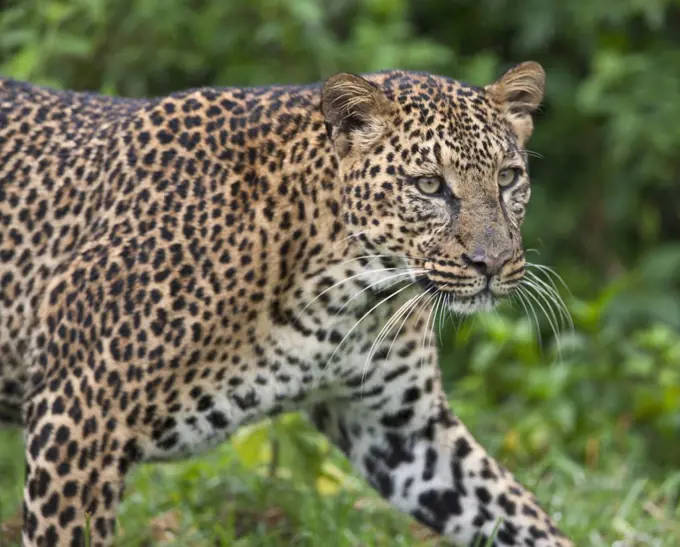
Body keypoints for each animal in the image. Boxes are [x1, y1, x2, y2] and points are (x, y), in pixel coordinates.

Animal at [0, 57, 572, 544]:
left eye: (508, 177)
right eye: (429, 185)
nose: (493, 264)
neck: (345, 289)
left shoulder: (401, 429)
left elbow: (515, 511)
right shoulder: (76, 416)